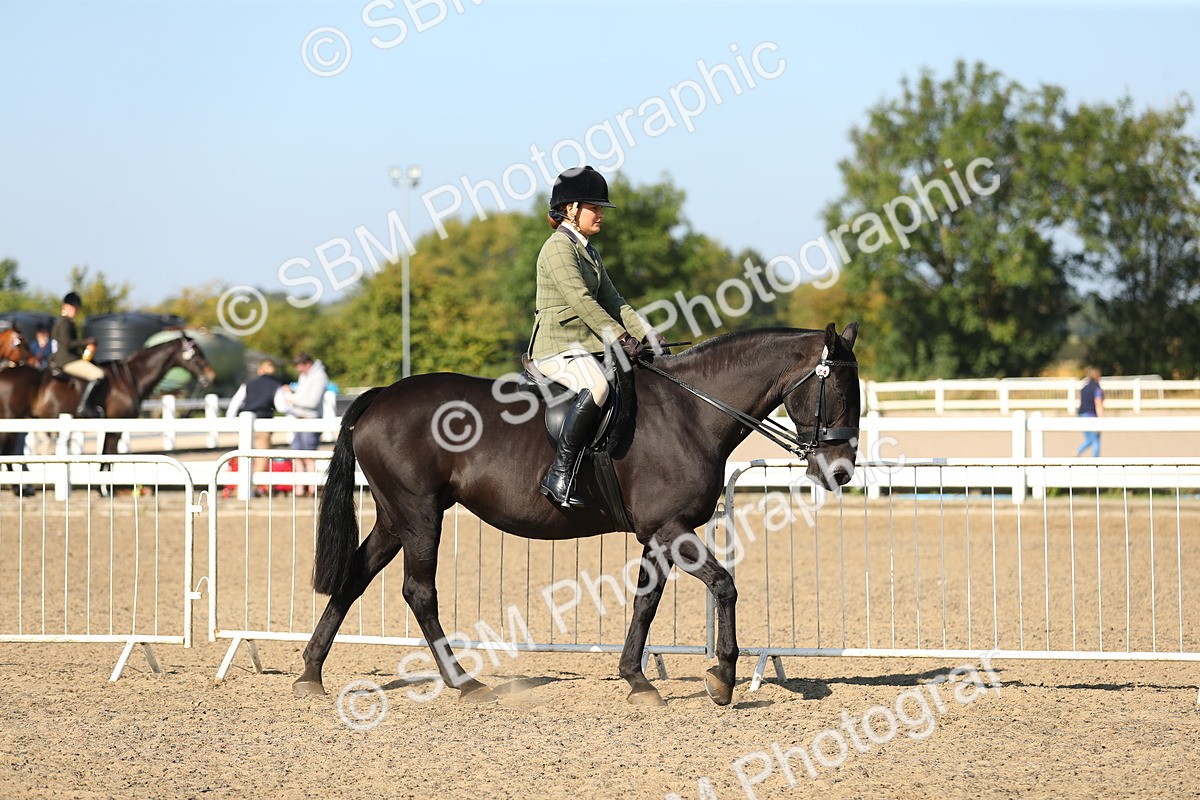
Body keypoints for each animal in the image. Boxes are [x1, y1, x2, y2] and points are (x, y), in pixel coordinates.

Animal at [0, 334, 217, 458]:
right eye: (196, 353)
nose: (211, 376)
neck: (130, 377)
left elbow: (106, 454)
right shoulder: (116, 424)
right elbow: (109, 455)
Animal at [296, 323, 861, 707]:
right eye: (838, 391)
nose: (841, 471)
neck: (690, 412)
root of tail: (380, 398)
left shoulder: (658, 535)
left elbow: (645, 603)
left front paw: (636, 679)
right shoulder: (671, 528)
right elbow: (723, 585)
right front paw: (721, 678)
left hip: (396, 518)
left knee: (354, 578)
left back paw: (311, 673)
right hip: (419, 515)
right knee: (419, 592)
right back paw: (464, 682)